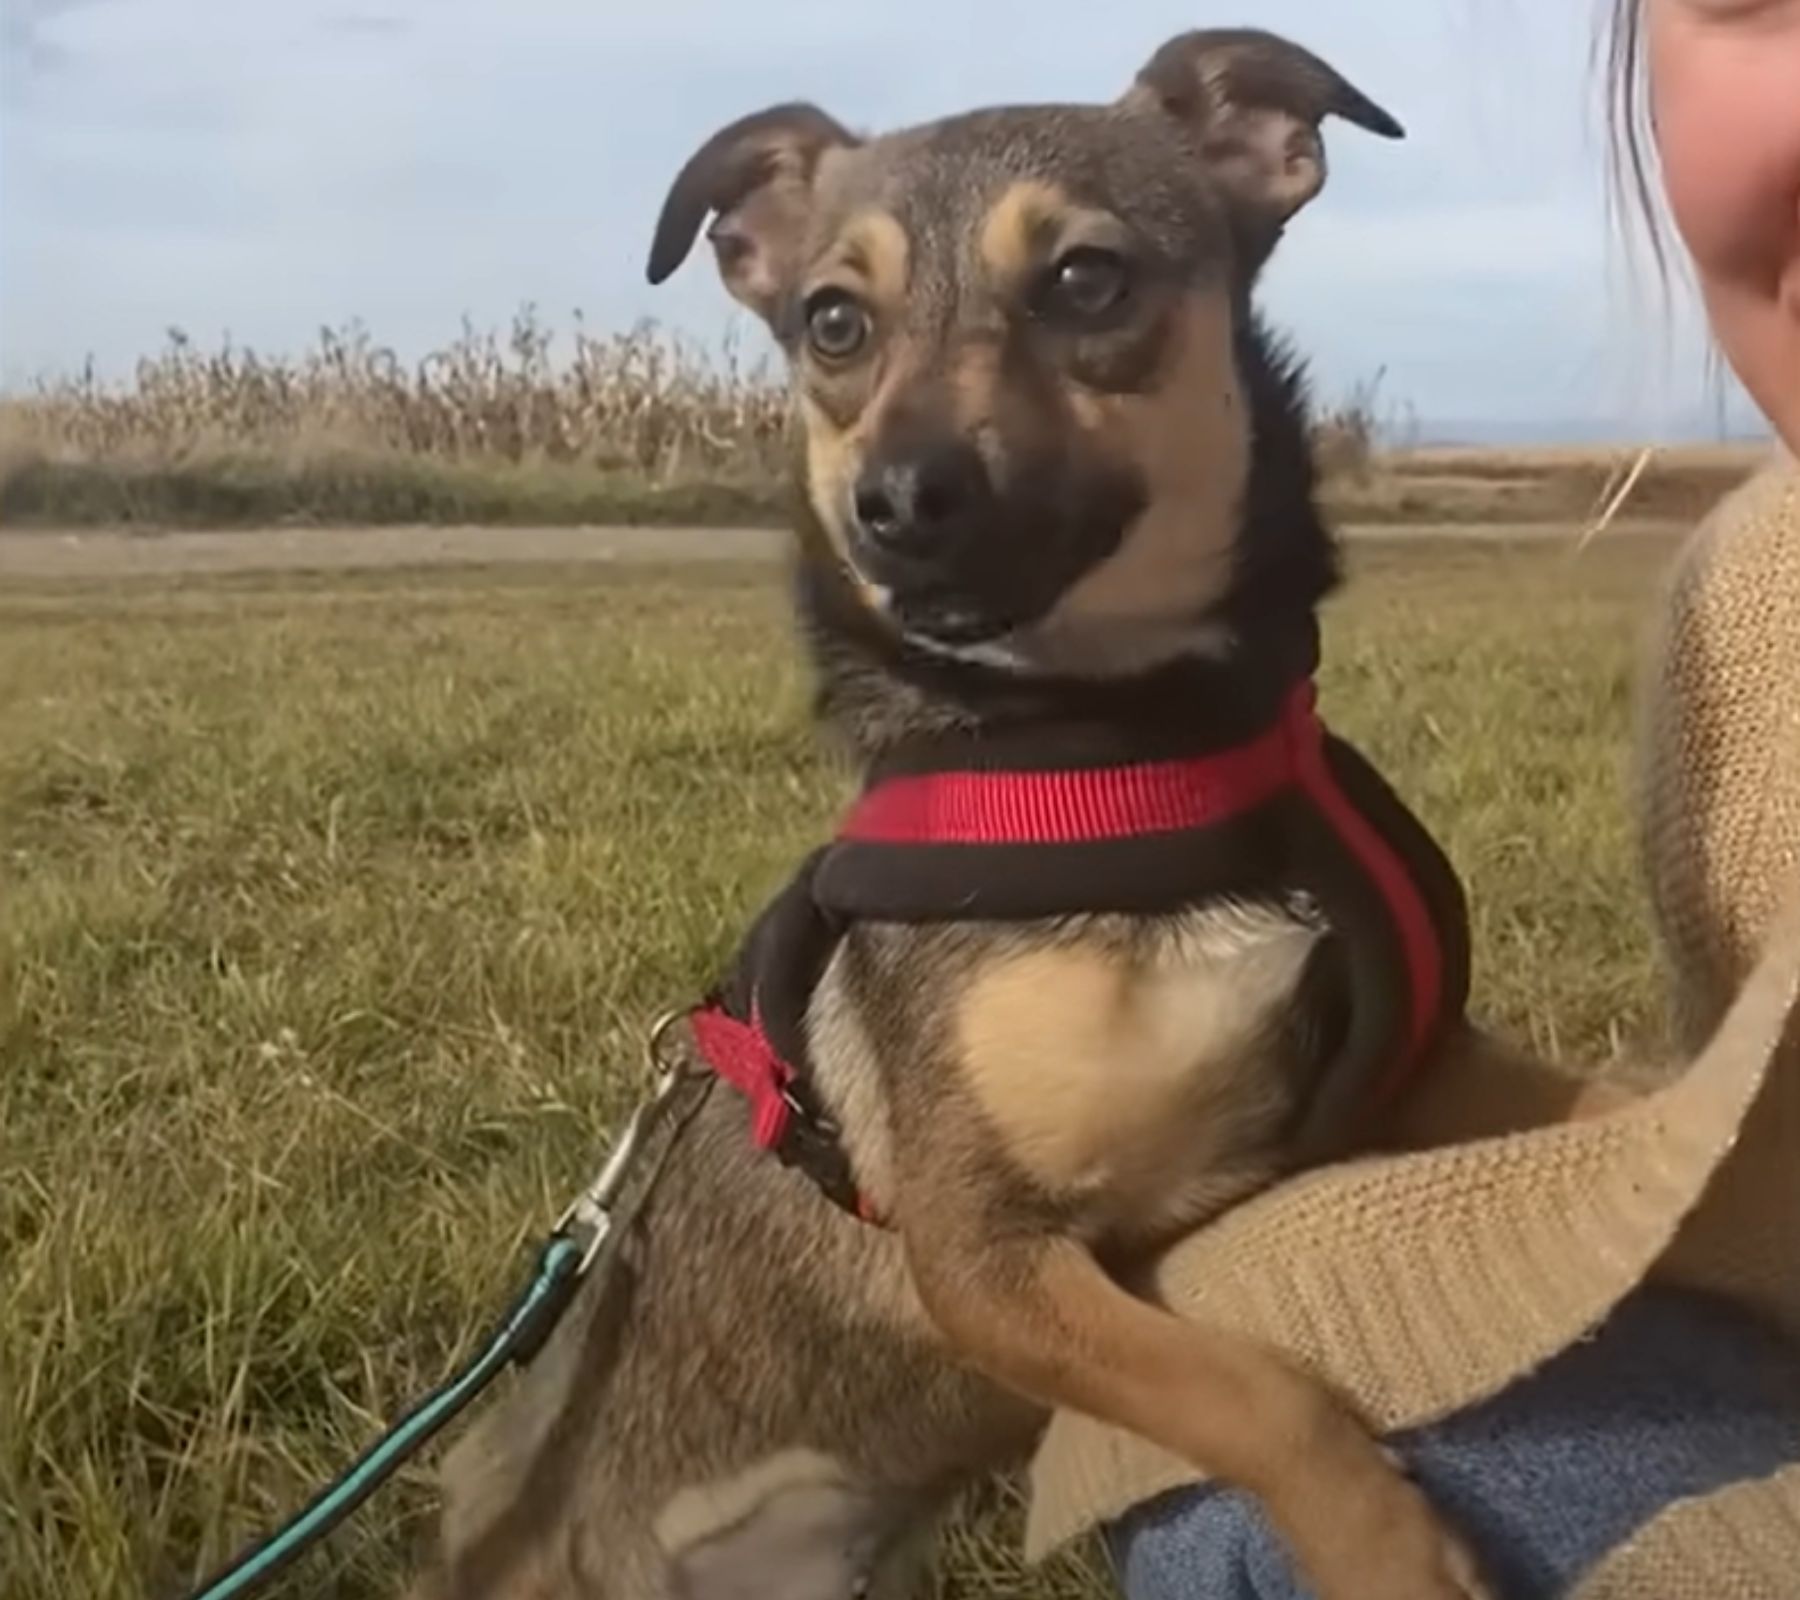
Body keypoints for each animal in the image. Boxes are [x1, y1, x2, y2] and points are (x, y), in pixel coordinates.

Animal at [408, 28, 1490, 1598]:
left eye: (1086, 280)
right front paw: (1393, 1552)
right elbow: (1250, 1389)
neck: (1131, 745)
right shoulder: (984, 1254)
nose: (898, 502)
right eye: (832, 323)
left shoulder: (1429, 1068)